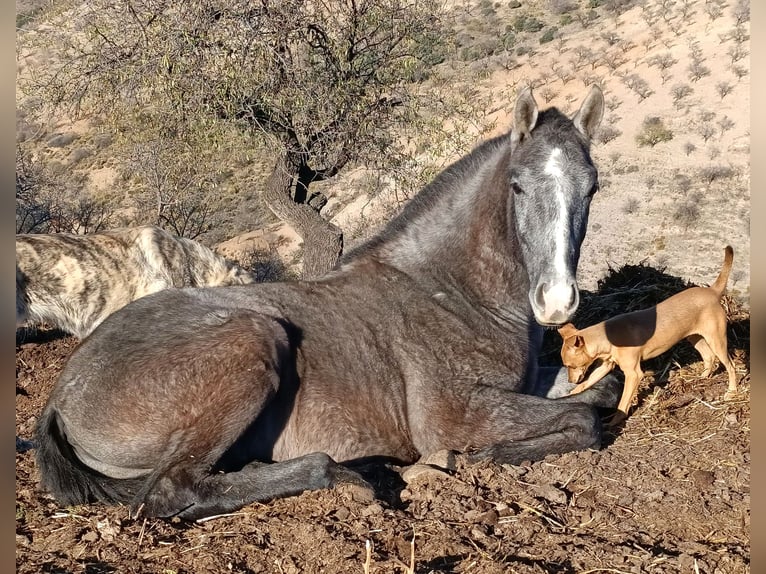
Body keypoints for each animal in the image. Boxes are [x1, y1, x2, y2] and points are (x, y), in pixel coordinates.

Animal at [37, 85, 624, 520]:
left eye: (592, 187)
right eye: (519, 186)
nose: (556, 303)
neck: (452, 291)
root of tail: (62, 397)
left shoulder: (527, 382)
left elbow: (604, 389)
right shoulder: (456, 416)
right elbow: (583, 420)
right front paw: (478, 456)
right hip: (254, 339)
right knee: (172, 490)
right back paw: (352, 476)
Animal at [560, 246, 740, 418]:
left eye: (570, 365)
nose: (570, 381)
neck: (607, 337)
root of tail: (712, 291)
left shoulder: (633, 374)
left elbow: (622, 404)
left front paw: (616, 421)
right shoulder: (606, 365)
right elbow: (587, 382)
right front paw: (571, 394)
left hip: (717, 340)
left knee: (730, 365)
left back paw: (731, 392)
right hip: (695, 337)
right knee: (708, 356)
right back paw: (700, 378)